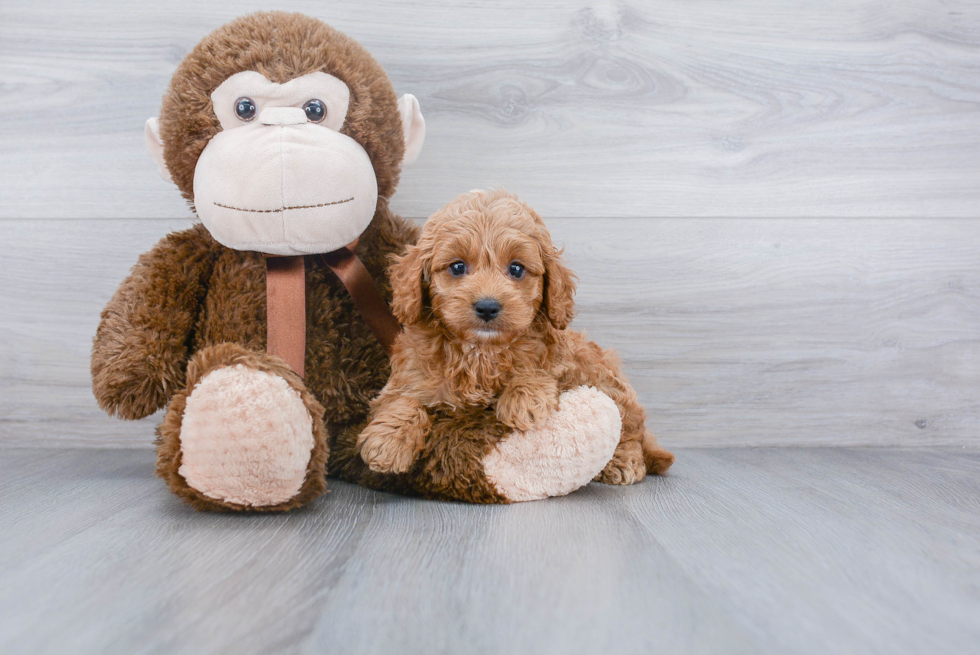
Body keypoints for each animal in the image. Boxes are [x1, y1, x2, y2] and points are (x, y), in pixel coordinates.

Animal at [358, 187, 672, 484]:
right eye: (457, 267)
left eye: (516, 268)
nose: (487, 306)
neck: (481, 352)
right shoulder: (408, 378)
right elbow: (403, 400)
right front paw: (388, 442)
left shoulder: (562, 362)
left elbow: (536, 369)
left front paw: (524, 400)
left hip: (606, 378)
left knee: (629, 429)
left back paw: (623, 462)